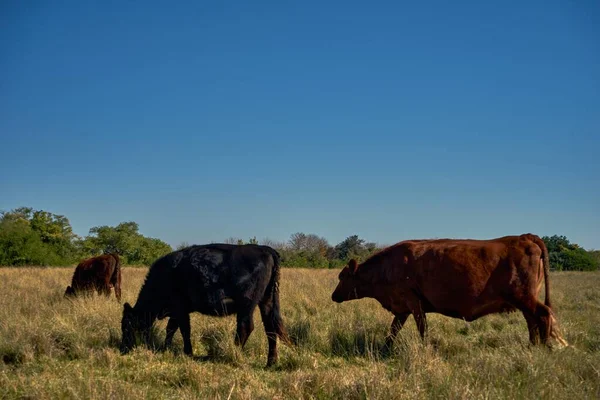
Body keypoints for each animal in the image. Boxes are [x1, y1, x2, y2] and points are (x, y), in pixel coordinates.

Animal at [119, 242, 290, 368]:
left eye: (126, 325)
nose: (123, 348)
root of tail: (264, 249)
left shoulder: (180, 309)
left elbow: (184, 330)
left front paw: (188, 352)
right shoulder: (176, 311)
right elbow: (171, 328)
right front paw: (166, 348)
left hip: (247, 304)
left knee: (245, 327)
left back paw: (232, 354)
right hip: (266, 301)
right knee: (271, 328)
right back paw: (270, 363)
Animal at [332, 233, 568, 348]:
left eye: (342, 277)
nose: (333, 296)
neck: (388, 267)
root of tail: (524, 237)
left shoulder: (413, 303)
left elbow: (422, 329)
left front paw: (426, 347)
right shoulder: (403, 309)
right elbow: (393, 331)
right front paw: (385, 349)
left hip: (524, 298)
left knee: (543, 315)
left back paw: (543, 348)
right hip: (524, 301)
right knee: (532, 321)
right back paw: (532, 346)